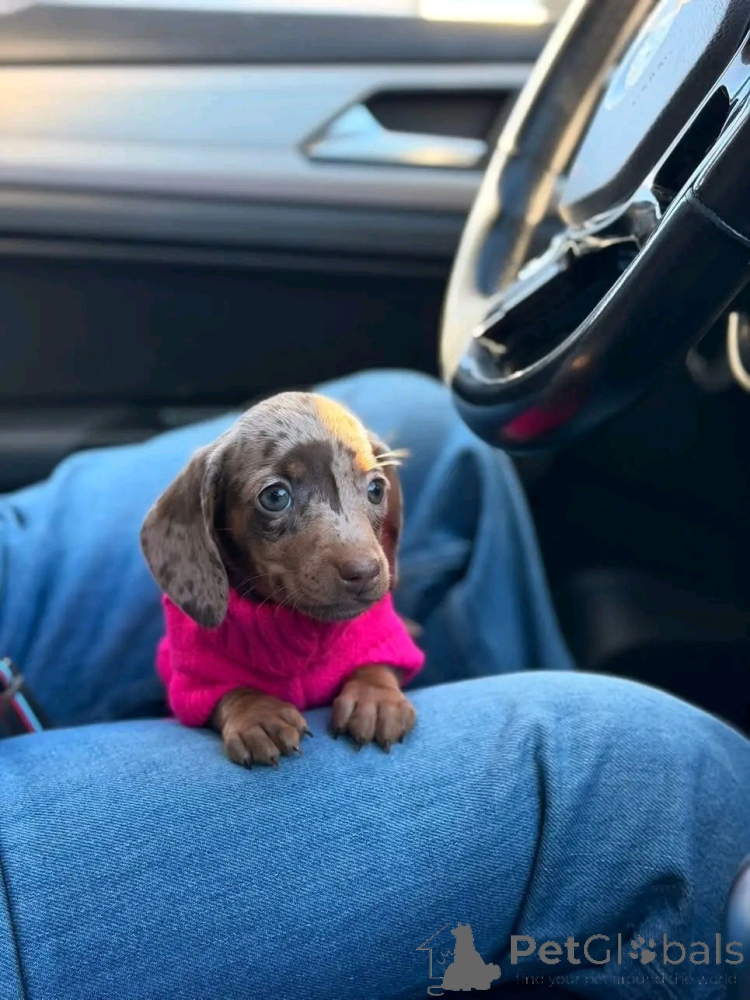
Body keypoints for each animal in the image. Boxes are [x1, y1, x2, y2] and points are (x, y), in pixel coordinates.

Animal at [140, 392, 424, 768]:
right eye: (275, 497)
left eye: (376, 489)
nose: (364, 571)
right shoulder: (196, 674)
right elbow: (232, 688)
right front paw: (258, 714)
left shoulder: (382, 636)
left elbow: (377, 663)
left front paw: (375, 698)